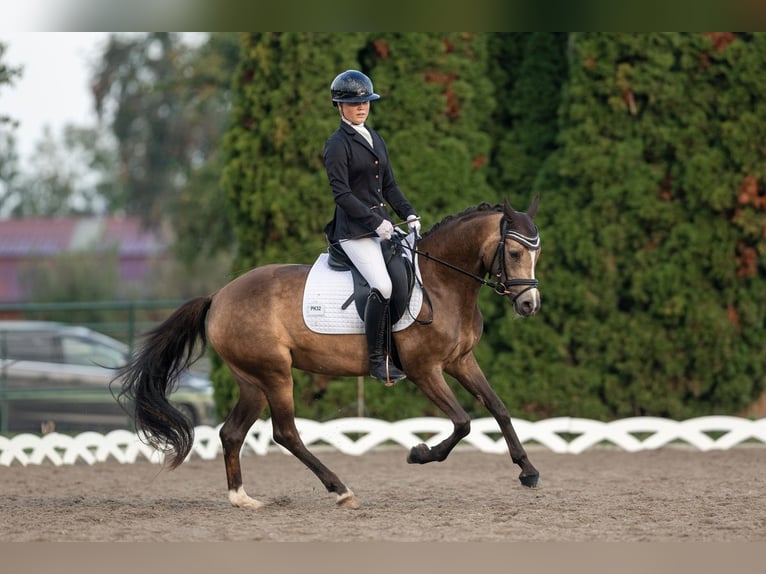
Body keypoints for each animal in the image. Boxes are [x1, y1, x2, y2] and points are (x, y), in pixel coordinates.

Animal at [117, 196, 544, 510]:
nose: (529, 305)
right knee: (285, 433)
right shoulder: (425, 370)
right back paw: (340, 490)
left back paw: (243, 499)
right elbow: (463, 422)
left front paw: (528, 471)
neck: (443, 283)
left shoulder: (461, 361)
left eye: (535, 254)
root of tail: (219, 295)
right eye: (514, 253)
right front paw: (419, 453)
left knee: (232, 432)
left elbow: (498, 408)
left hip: (252, 381)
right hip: (276, 374)